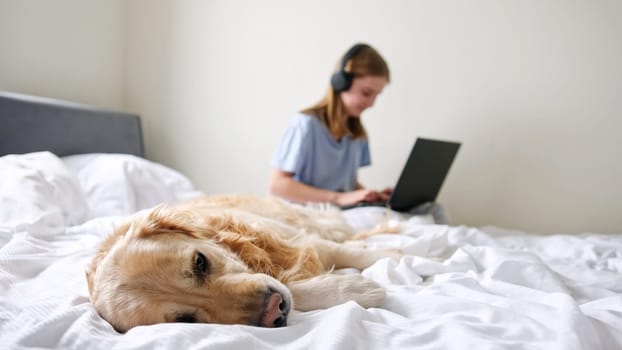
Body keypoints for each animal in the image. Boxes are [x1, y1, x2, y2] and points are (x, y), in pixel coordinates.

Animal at [85, 196, 402, 332]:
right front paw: (356, 288)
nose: (275, 310)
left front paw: (411, 255)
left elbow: (362, 256)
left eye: (200, 262)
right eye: (186, 320)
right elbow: (294, 287)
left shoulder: (297, 238)